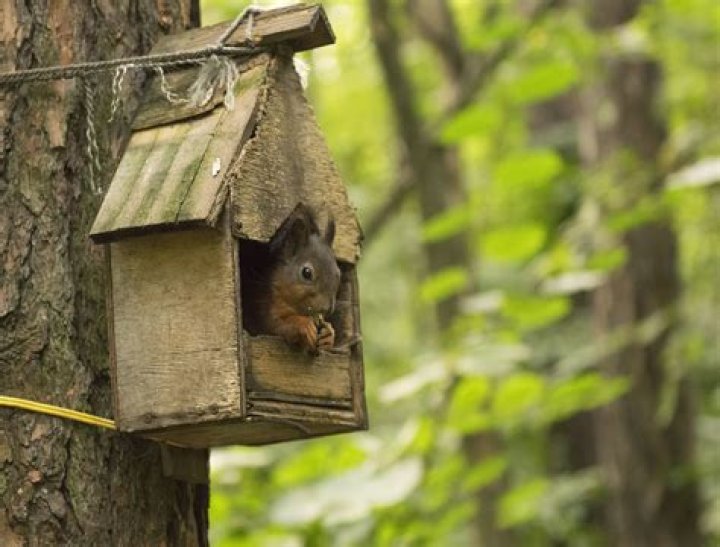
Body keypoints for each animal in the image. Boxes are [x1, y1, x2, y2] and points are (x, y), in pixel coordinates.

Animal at [259, 204, 342, 354]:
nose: (327, 308)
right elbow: (277, 325)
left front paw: (329, 334)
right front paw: (303, 324)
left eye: (338, 274)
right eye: (306, 273)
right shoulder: (266, 307)